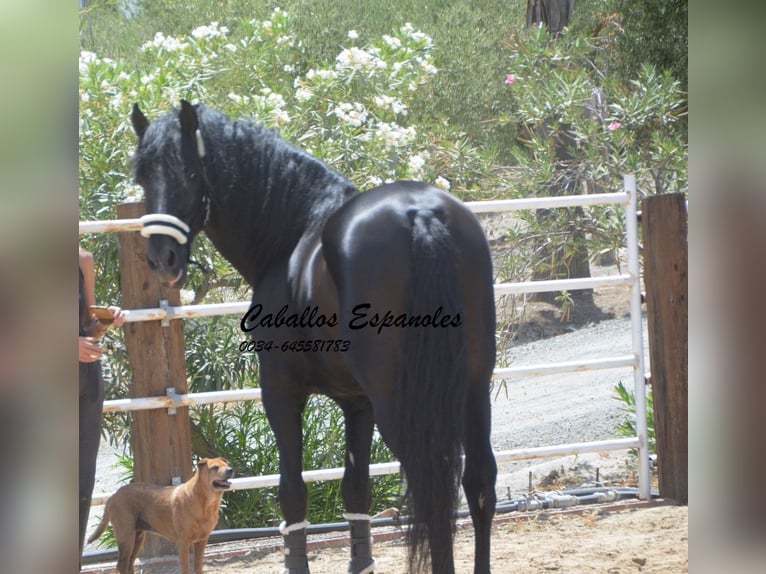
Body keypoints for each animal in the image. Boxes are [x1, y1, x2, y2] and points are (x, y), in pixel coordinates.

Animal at [88, 460, 232, 574]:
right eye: (215, 467)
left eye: (226, 464)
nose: (230, 470)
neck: (206, 502)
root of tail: (113, 496)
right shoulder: (183, 542)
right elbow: (185, 567)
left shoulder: (202, 540)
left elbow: (198, 566)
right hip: (126, 537)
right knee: (121, 565)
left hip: (138, 538)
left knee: (129, 564)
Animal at [130, 101, 498, 572]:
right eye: (143, 175)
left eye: (191, 173)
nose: (162, 257)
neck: (294, 234)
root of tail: (421, 215)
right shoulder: (358, 404)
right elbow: (355, 490)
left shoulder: (280, 392)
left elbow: (293, 494)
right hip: (472, 388)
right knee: (479, 482)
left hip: (402, 403)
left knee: (432, 487)